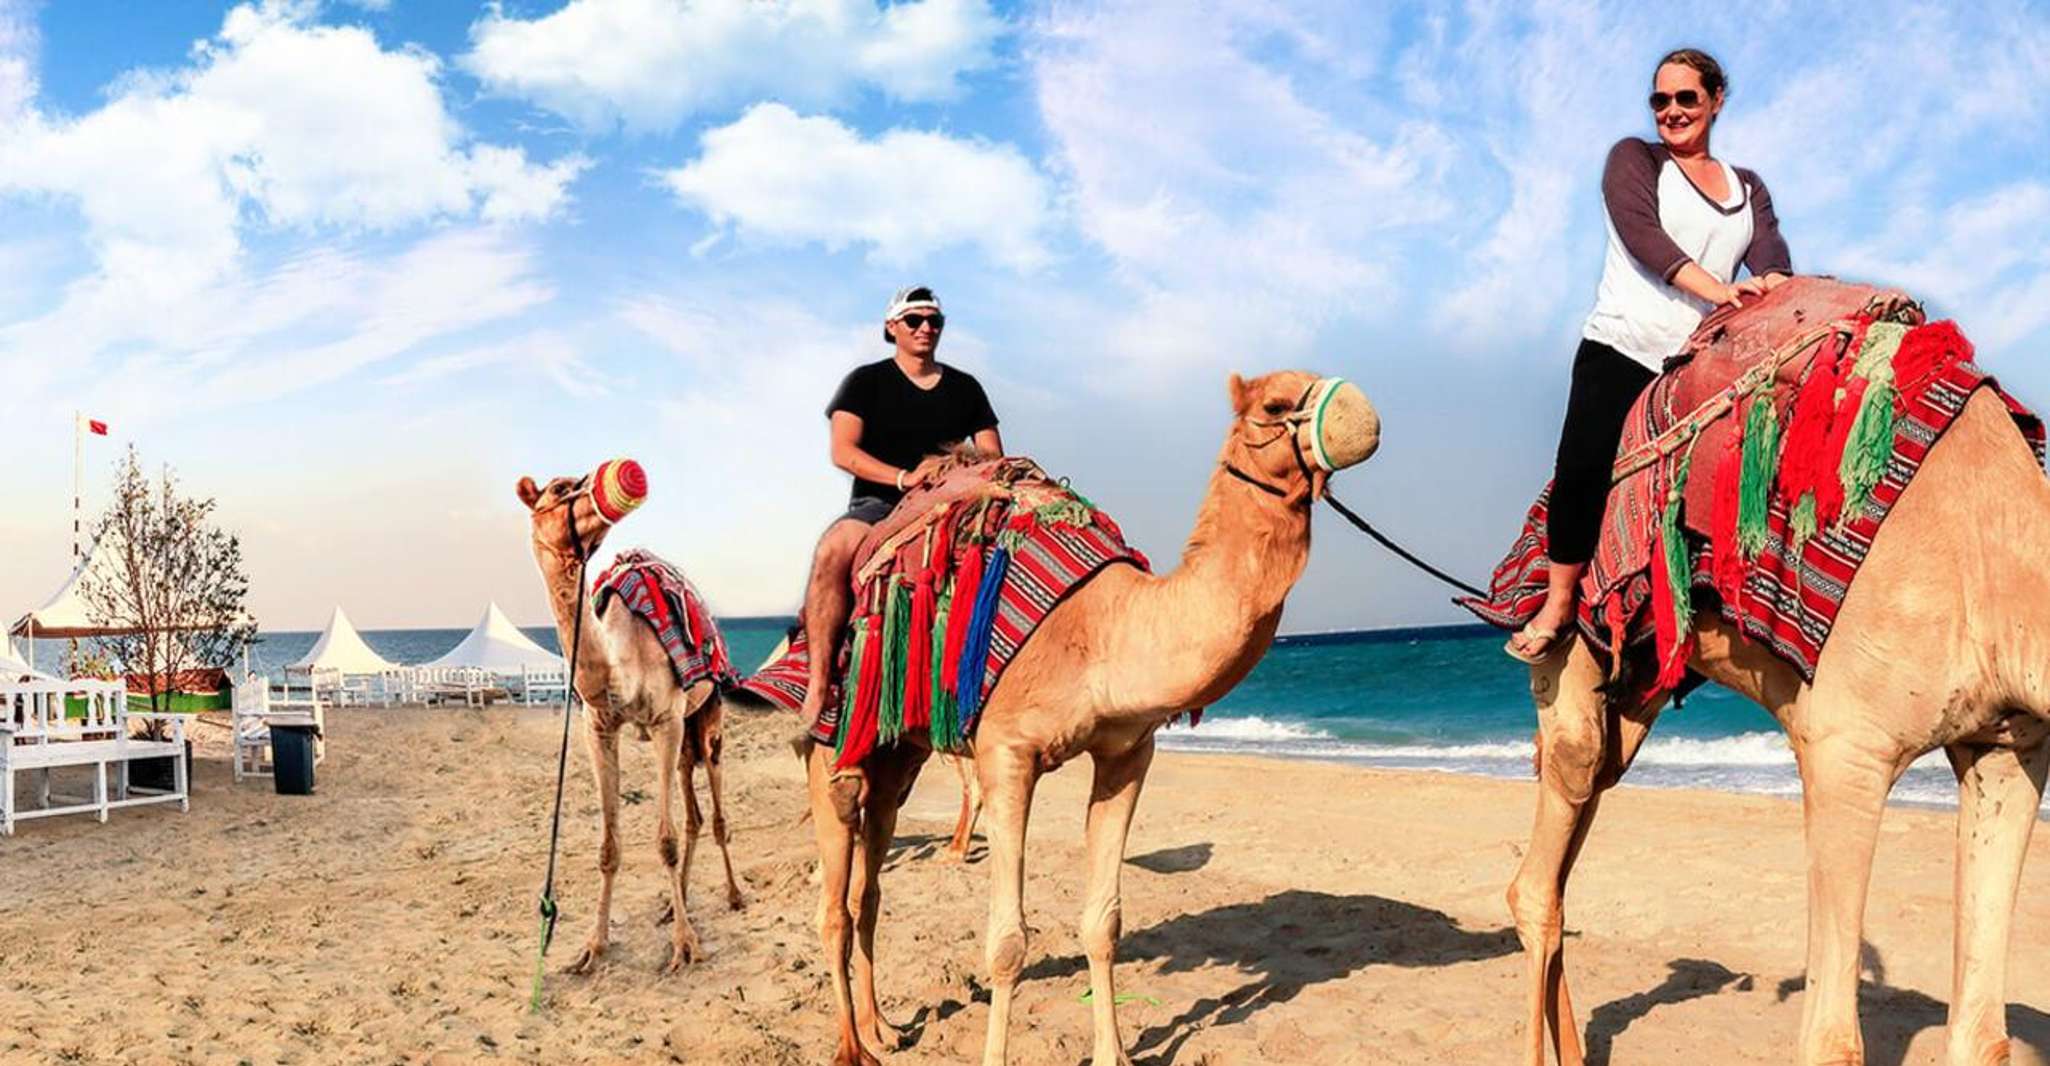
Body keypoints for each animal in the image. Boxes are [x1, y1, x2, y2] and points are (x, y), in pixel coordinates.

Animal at [517, 465, 745, 976]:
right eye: (559, 489)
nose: (622, 475)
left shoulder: (665, 720)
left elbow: (665, 841)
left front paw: (685, 946)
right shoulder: (598, 729)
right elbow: (609, 846)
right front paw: (592, 947)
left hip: (706, 717)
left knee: (717, 810)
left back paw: (735, 895)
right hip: (685, 736)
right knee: (694, 812)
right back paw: (676, 902)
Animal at [802, 370, 1381, 1066]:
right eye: (1273, 404)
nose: (1364, 414)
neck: (1102, 627)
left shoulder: (1128, 753)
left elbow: (1104, 923)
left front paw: (1114, 1052)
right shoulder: (1006, 754)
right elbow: (1007, 943)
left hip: (899, 758)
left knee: (870, 887)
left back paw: (882, 1026)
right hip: (836, 743)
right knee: (835, 897)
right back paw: (851, 1047)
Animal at [1507, 387, 2050, 1066]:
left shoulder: (2008, 751)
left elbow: (1982, 1038)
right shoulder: (1846, 751)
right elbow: (1832, 1041)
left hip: (1631, 697)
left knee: (1567, 854)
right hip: (1568, 660)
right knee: (1537, 880)